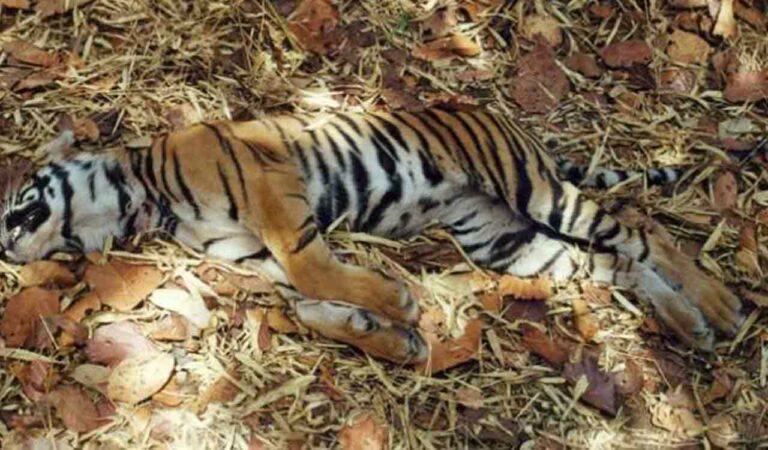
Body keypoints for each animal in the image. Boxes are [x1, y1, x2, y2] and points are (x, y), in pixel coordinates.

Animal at [0, 108, 745, 364]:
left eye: (17, 199)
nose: (5, 247)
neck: (144, 198)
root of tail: (506, 119)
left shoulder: (274, 190)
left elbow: (314, 273)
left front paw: (400, 305)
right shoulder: (254, 257)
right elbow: (307, 306)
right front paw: (391, 337)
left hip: (530, 189)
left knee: (639, 228)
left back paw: (721, 306)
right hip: (512, 243)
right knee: (612, 265)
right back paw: (688, 325)